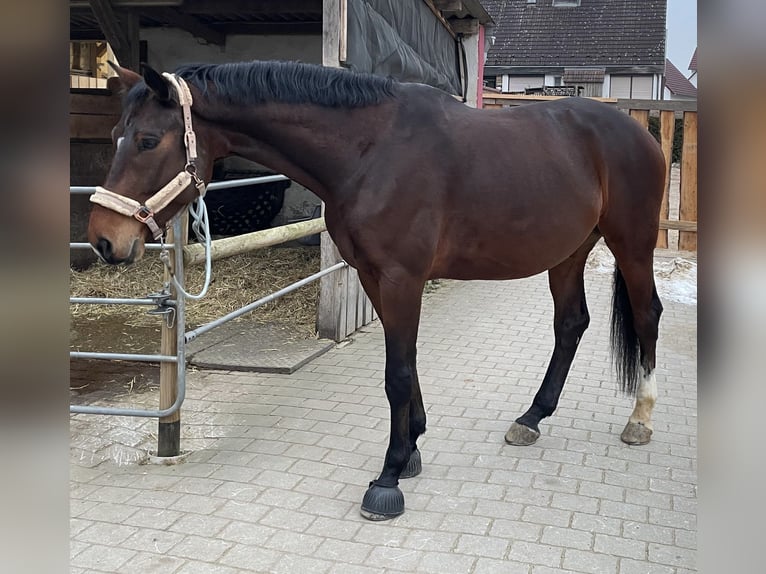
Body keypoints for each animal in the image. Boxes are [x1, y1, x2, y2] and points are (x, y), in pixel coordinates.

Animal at [87, 61, 665, 521]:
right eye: (115, 133)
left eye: (148, 140)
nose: (103, 239)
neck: (370, 150)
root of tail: (640, 132)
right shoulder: (372, 275)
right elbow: (403, 364)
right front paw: (411, 450)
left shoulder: (401, 277)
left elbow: (397, 374)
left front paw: (387, 479)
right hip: (568, 252)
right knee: (570, 324)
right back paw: (531, 418)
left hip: (631, 245)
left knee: (647, 316)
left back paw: (639, 420)